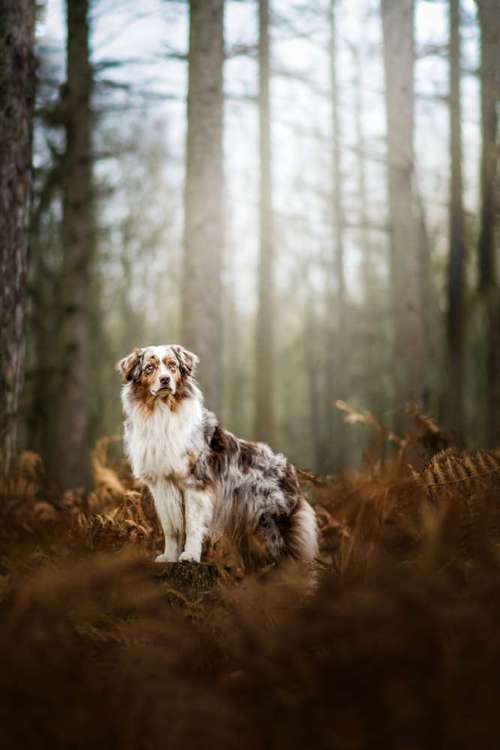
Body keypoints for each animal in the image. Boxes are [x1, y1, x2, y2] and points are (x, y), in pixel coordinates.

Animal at [118, 346, 316, 568]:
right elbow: (170, 528)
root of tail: (290, 470)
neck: (162, 412)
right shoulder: (160, 484)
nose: (165, 379)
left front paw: (190, 556)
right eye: (149, 368)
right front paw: (169, 557)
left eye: (172, 365)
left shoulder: (194, 483)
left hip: (274, 523)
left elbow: (192, 525)